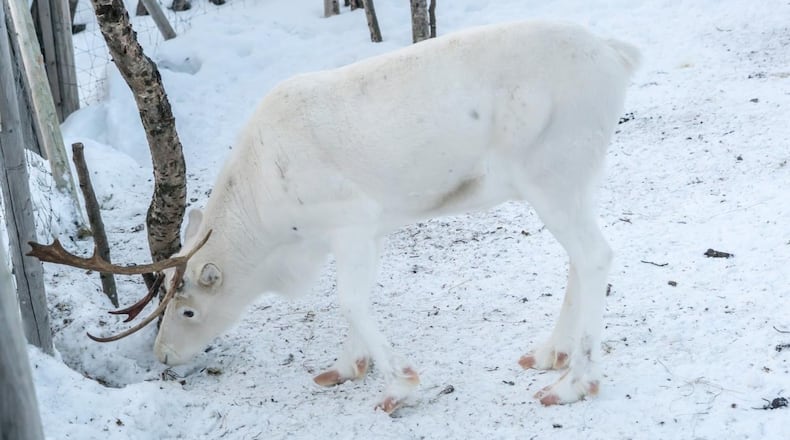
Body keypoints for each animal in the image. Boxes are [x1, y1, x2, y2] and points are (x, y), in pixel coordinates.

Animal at [30, 20, 640, 413]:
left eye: (187, 311)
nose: (162, 357)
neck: (275, 233)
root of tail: (617, 55)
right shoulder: (366, 230)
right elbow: (354, 302)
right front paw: (348, 368)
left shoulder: (351, 221)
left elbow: (349, 299)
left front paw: (401, 386)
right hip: (570, 179)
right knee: (579, 259)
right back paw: (550, 354)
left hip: (551, 173)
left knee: (596, 255)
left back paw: (576, 382)